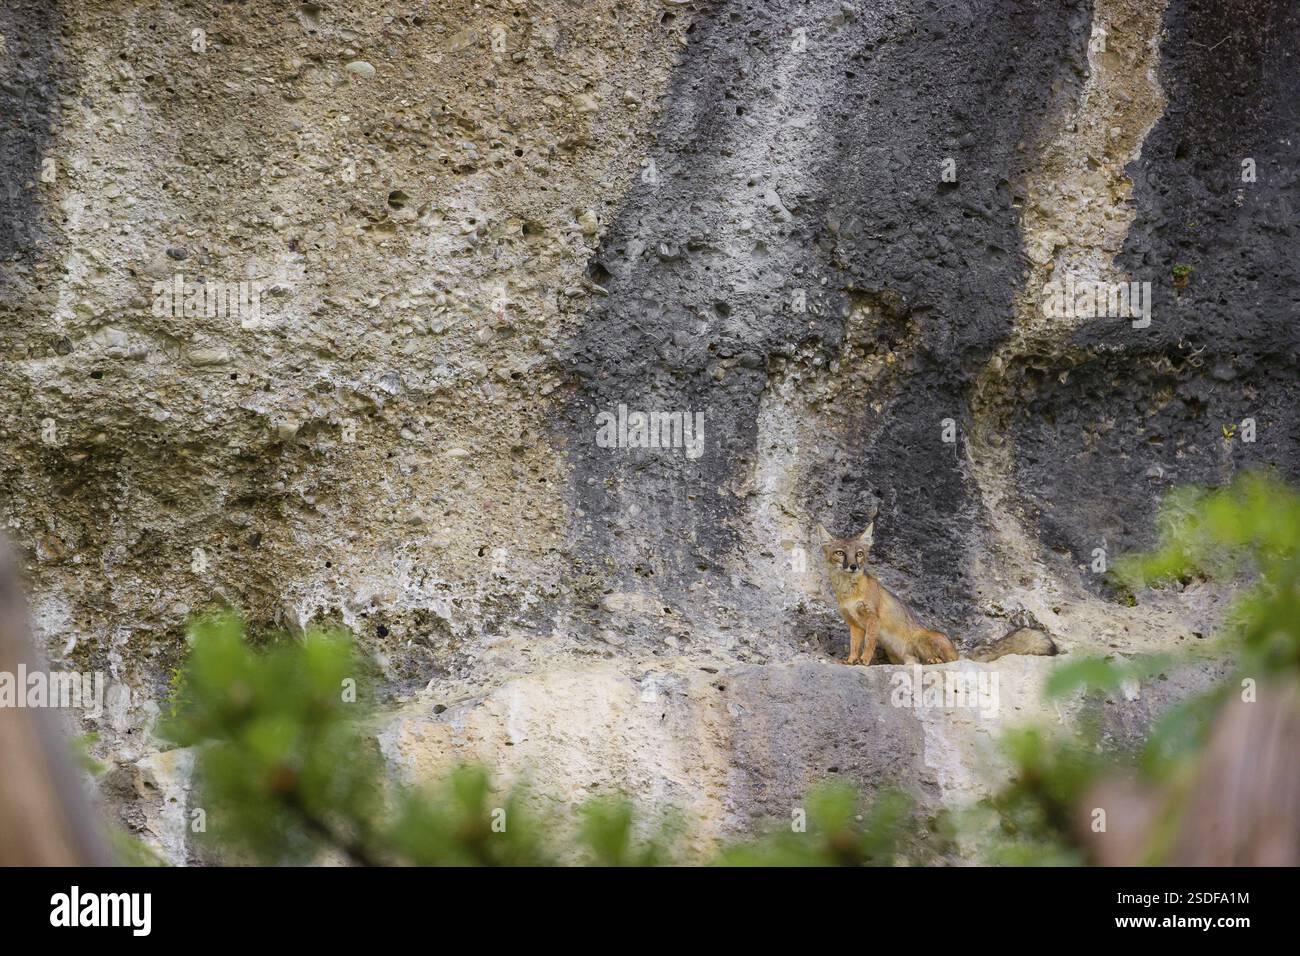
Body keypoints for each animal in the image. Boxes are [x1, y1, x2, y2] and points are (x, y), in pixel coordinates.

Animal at [819, 522, 1058, 665]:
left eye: (859, 554)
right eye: (840, 553)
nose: (853, 566)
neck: (849, 593)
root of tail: (960, 653)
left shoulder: (873, 619)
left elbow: (868, 644)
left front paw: (865, 661)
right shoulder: (854, 624)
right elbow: (854, 645)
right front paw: (851, 660)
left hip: (927, 639)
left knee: (946, 661)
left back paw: (937, 661)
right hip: (901, 656)